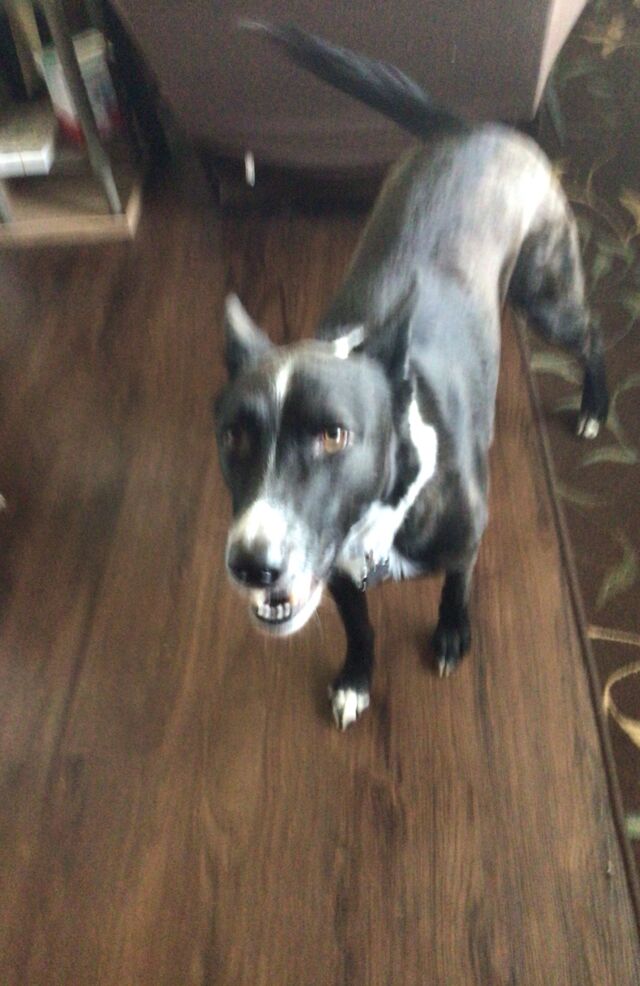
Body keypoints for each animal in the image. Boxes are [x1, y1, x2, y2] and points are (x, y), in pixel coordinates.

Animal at [215, 23, 609, 730]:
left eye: (334, 435)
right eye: (233, 436)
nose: (252, 566)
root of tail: (467, 127)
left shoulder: (466, 539)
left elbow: (456, 586)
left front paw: (452, 635)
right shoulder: (338, 573)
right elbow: (360, 626)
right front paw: (355, 680)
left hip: (547, 293)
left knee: (589, 334)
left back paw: (595, 405)